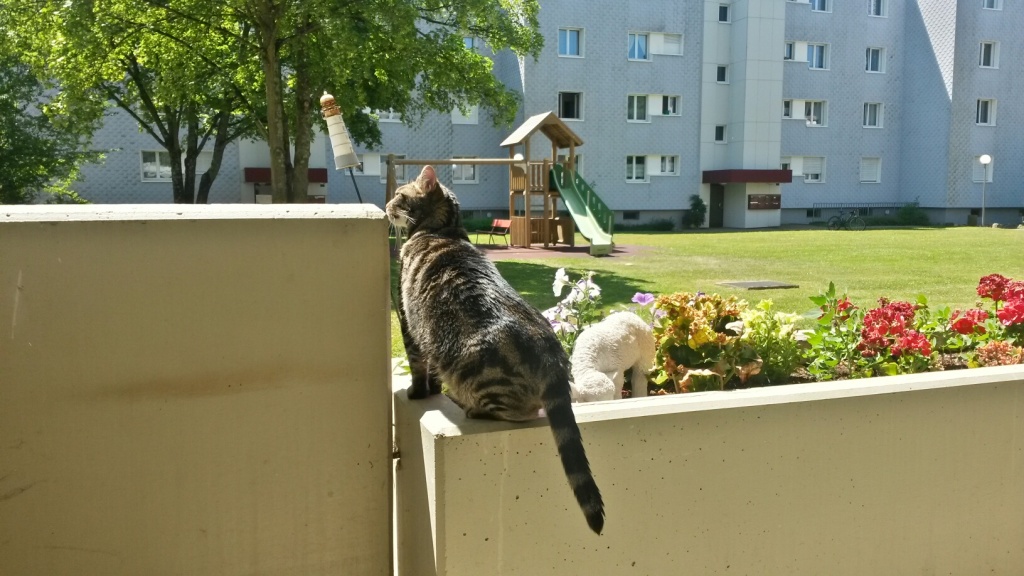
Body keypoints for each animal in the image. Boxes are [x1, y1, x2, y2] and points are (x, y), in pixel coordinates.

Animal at [387, 163, 602, 532]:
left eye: (400, 194)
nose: (387, 205)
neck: (443, 230)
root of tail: (552, 352)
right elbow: (433, 376)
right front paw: (433, 391)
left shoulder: (409, 324)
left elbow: (418, 368)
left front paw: (418, 393)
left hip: (478, 374)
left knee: (521, 411)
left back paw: (473, 407)